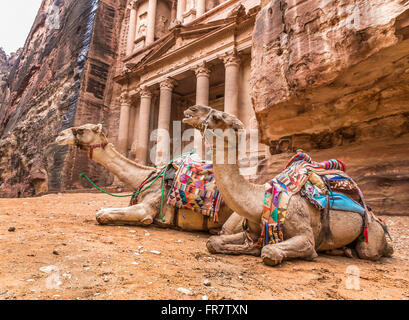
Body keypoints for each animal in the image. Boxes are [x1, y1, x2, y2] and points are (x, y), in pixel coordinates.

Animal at [182, 105, 392, 264]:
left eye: (218, 117)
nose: (191, 110)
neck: (258, 200)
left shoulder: (304, 233)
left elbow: (271, 251)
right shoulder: (252, 229)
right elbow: (213, 242)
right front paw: (248, 248)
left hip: (370, 232)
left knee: (370, 250)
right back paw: (343, 250)